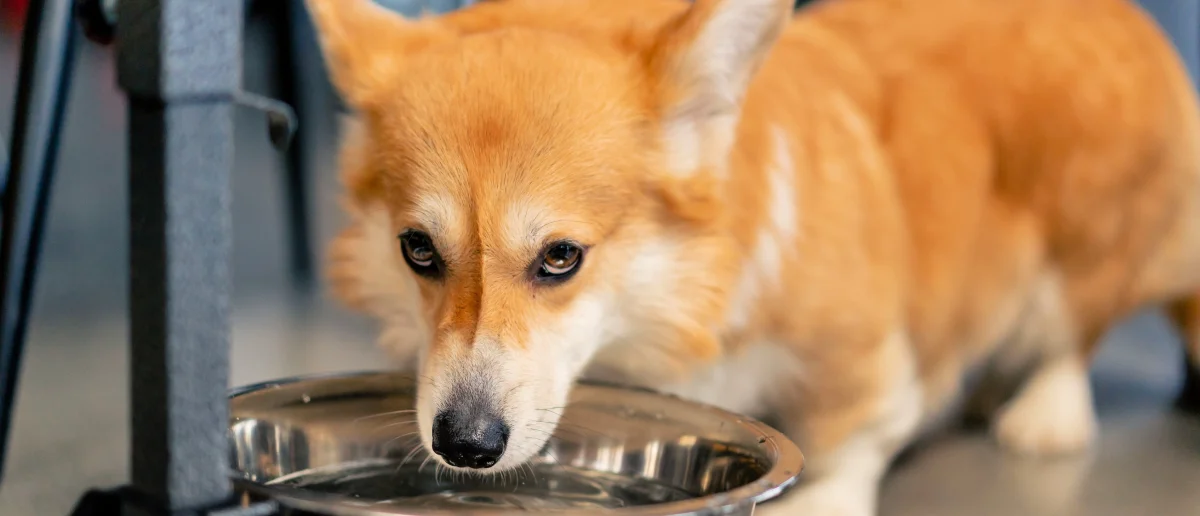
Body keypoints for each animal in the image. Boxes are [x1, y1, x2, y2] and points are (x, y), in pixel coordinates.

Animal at [307, 0, 1200, 513]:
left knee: (1071, 333)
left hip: (1082, 250)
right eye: (417, 249)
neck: (671, 300)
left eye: (561, 257)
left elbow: (849, 445)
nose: (464, 445)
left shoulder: (860, 361)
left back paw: (1043, 415)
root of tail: (1117, 12)